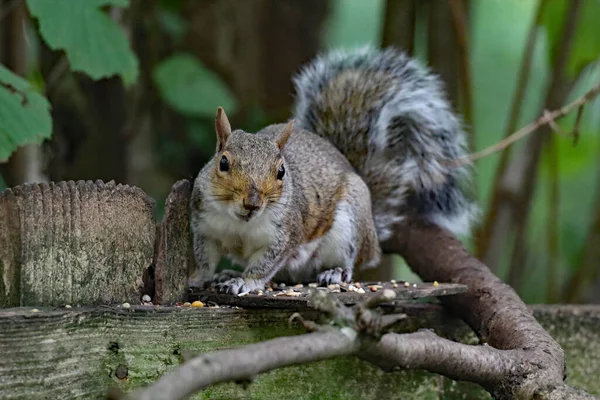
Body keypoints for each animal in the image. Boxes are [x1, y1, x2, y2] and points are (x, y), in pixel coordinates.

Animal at [189, 47, 478, 296]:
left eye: (281, 171)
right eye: (223, 163)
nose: (252, 203)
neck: (240, 223)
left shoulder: (284, 237)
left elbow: (264, 266)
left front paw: (244, 282)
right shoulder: (205, 228)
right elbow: (205, 259)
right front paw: (200, 277)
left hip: (349, 227)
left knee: (350, 261)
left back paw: (335, 272)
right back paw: (228, 273)